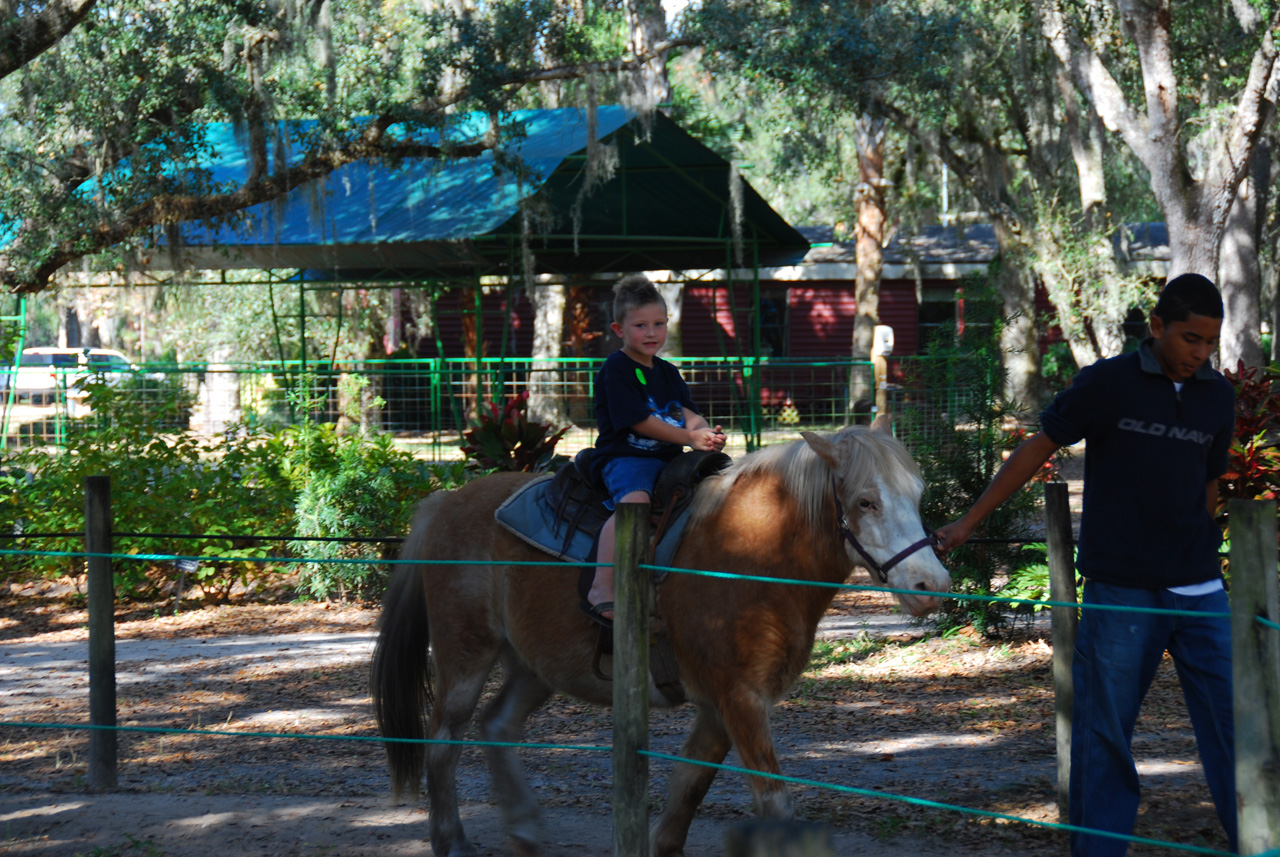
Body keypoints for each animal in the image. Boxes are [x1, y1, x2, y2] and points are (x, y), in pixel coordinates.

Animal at [371, 422, 952, 857]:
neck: (748, 556)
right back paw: (451, 840)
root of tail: (445, 501)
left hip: (537, 666)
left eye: (916, 496)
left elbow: (685, 794)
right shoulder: (739, 701)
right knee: (442, 741)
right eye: (866, 502)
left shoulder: (720, 709)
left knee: (497, 726)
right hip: (466, 655)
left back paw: (525, 828)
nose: (932, 585)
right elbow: (773, 803)